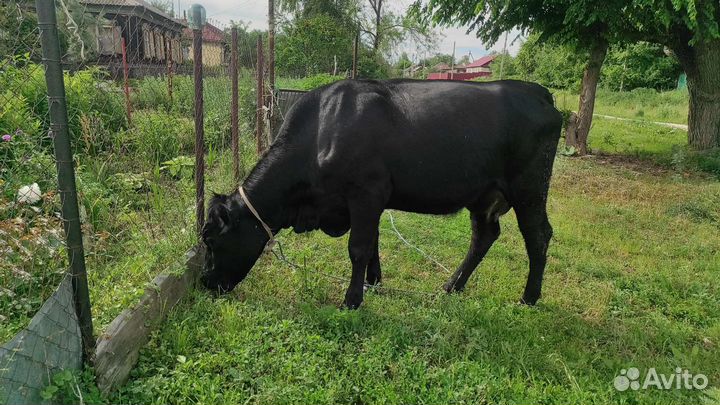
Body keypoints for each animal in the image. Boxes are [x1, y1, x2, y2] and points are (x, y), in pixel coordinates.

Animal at [201, 79, 562, 309]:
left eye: (211, 241)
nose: (204, 283)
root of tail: (537, 91)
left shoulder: (366, 193)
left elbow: (358, 247)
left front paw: (351, 300)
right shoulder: (367, 203)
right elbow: (373, 242)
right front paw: (372, 282)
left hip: (529, 187)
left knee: (538, 235)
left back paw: (528, 298)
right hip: (485, 195)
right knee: (484, 236)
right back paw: (451, 287)